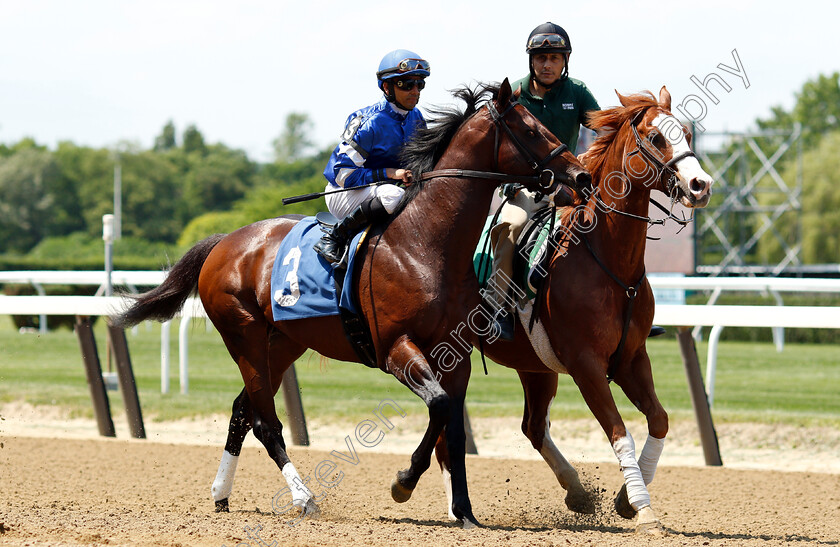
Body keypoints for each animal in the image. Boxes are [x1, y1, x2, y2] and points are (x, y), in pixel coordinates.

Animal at [115, 79, 592, 528]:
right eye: (531, 129)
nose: (580, 176)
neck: (425, 243)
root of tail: (223, 242)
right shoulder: (396, 348)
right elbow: (439, 407)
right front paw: (403, 483)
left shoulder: (456, 356)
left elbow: (453, 428)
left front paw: (465, 512)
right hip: (243, 335)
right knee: (265, 422)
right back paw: (303, 498)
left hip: (282, 342)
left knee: (241, 411)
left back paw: (221, 494)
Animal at [434, 86, 716, 536]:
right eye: (656, 137)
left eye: (687, 133)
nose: (700, 184)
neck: (609, 262)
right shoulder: (586, 366)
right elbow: (620, 432)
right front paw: (643, 508)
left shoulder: (632, 358)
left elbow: (659, 420)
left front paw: (625, 500)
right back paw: (456, 510)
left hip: (535, 367)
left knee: (533, 427)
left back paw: (577, 492)